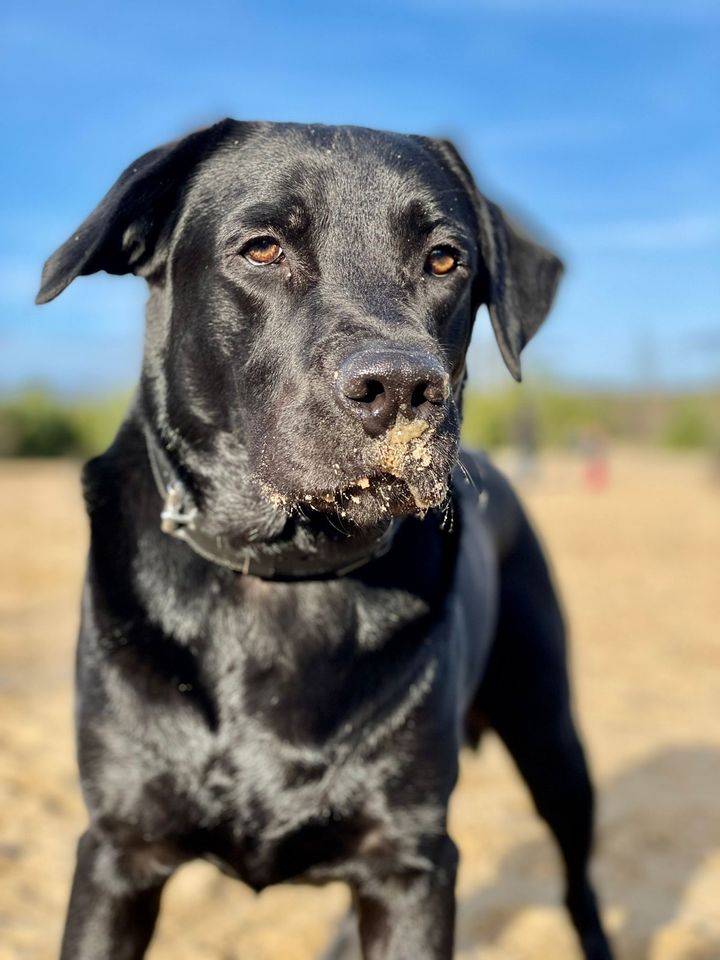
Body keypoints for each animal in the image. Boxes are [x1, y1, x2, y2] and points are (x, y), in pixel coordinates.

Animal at [38, 122, 612, 960]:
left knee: (578, 879)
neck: (287, 575)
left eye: (446, 259)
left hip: (549, 730)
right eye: (263, 248)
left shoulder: (411, 861)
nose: (402, 387)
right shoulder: (120, 848)